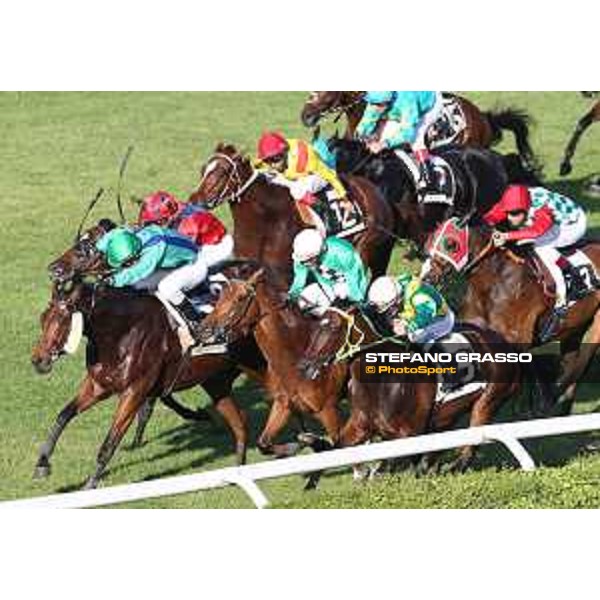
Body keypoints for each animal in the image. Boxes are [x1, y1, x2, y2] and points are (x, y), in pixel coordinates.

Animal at [185, 143, 396, 278]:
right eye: (203, 170)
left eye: (221, 172)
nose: (195, 199)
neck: (266, 222)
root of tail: (374, 191)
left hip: (365, 248)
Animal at [302, 308, 524, 476]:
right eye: (315, 326)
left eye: (333, 327)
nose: (304, 365)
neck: (381, 380)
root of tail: (503, 341)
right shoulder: (361, 426)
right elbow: (340, 445)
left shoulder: (410, 432)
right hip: (447, 415)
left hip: (489, 399)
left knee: (473, 438)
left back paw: (454, 467)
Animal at [424, 218, 600, 414]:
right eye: (428, 242)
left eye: (451, 244)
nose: (427, 277)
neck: (494, 283)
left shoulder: (517, 339)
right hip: (574, 329)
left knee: (579, 366)